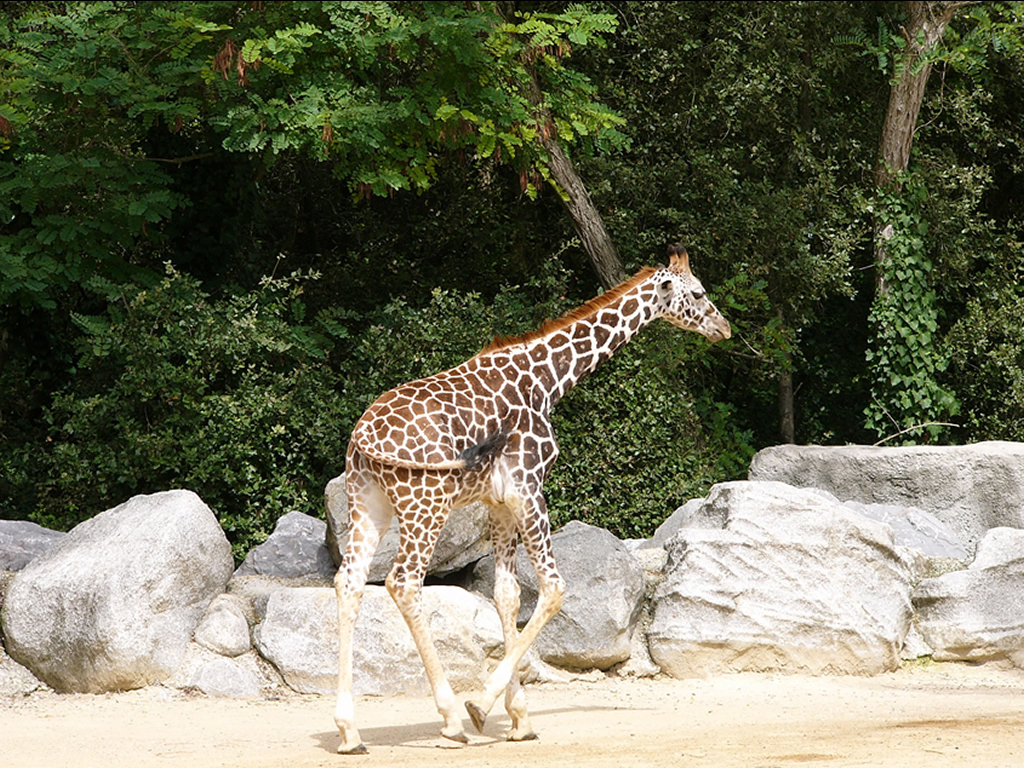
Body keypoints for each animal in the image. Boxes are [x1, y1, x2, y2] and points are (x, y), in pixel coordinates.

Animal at [333, 243, 729, 753]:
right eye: (697, 292)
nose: (723, 327)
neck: (547, 380)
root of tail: (361, 437)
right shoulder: (528, 487)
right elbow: (554, 588)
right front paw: (480, 706)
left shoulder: (499, 502)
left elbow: (505, 594)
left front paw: (518, 717)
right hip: (425, 503)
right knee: (403, 582)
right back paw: (450, 720)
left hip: (368, 505)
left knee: (349, 581)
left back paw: (349, 731)